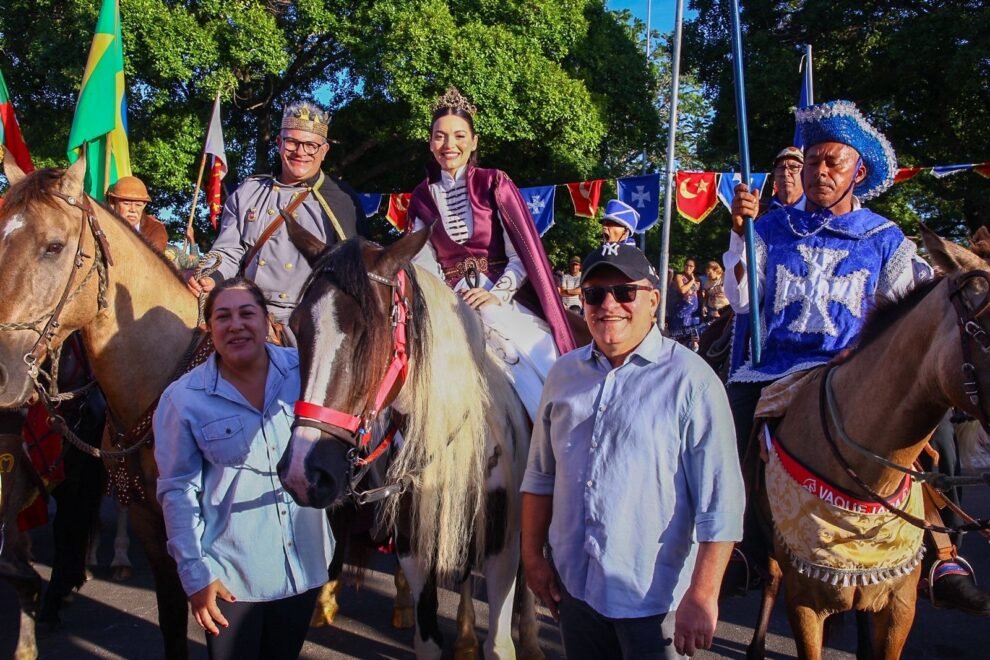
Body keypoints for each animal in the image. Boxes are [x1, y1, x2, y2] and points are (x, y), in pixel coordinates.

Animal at [278, 228, 544, 660]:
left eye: (370, 331)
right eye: (297, 326)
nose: (304, 472)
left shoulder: (502, 546)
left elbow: (500, 644)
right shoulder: (414, 547)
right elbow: (428, 639)